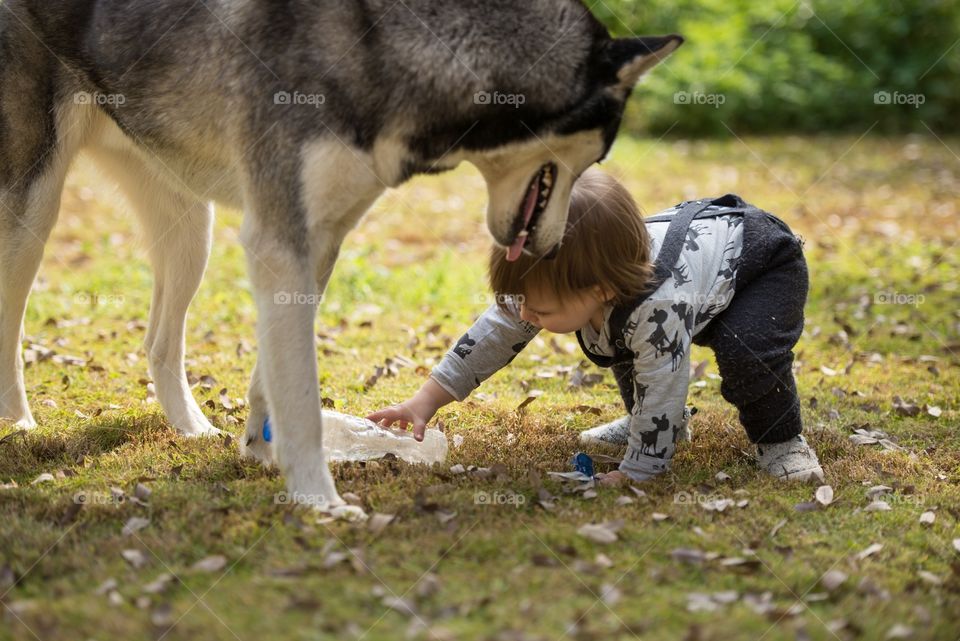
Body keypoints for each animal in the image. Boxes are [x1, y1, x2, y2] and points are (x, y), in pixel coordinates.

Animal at [0, 0, 680, 516]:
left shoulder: (319, 239)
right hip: (31, 213)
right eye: (598, 153)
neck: (389, 45)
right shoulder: (279, 240)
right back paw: (17, 425)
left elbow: (272, 380)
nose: (554, 245)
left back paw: (191, 429)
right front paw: (318, 499)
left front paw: (261, 451)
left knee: (159, 344)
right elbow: (299, 391)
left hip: (191, 227)